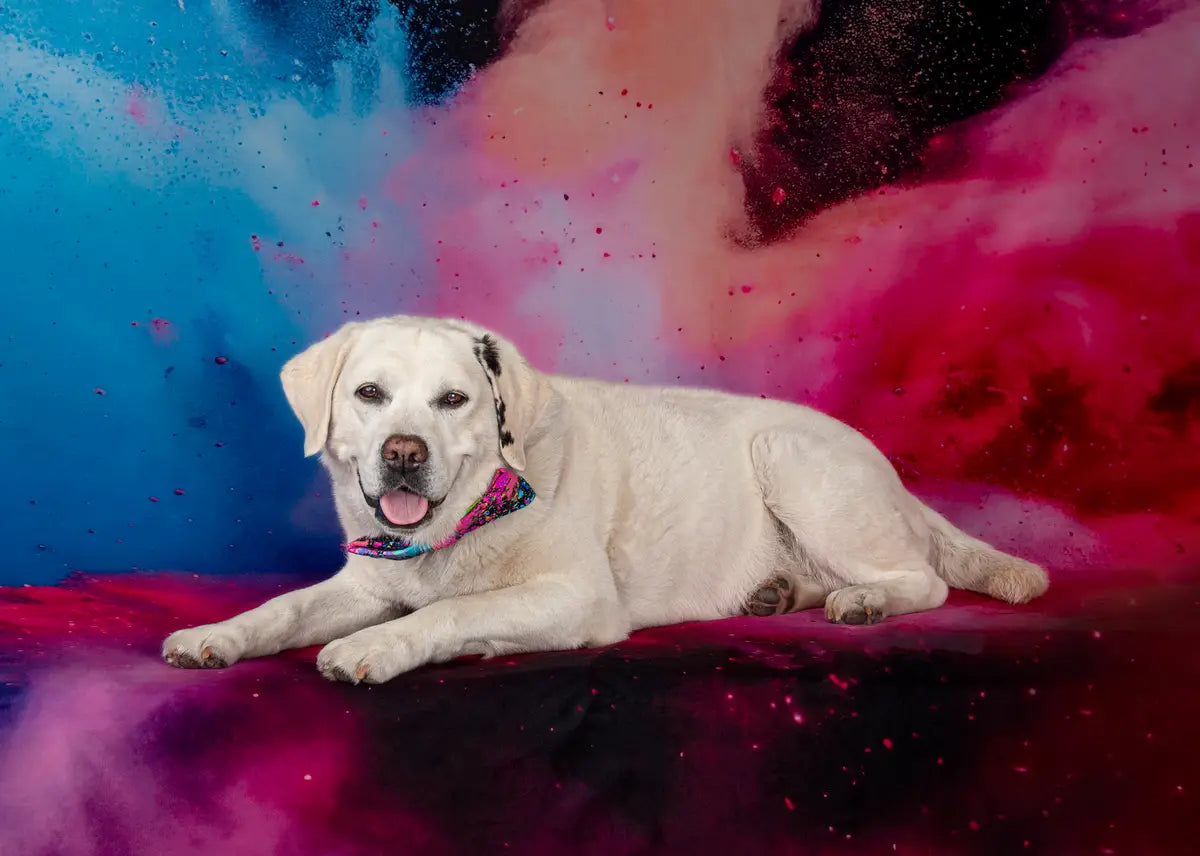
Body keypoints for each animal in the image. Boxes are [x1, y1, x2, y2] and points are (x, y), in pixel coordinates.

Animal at [163, 315, 1049, 683]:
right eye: (369, 395)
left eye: (454, 401)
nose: (403, 455)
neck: (455, 527)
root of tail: (889, 468)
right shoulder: (366, 579)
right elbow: (281, 608)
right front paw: (217, 635)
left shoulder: (577, 597)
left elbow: (451, 611)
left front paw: (376, 647)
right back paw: (776, 592)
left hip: (792, 459)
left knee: (922, 579)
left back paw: (864, 600)